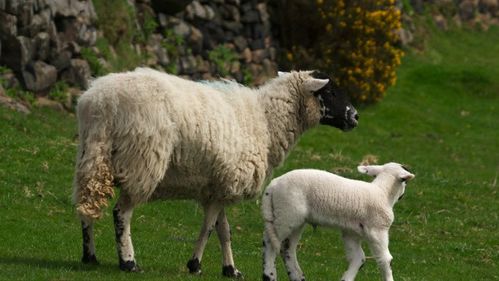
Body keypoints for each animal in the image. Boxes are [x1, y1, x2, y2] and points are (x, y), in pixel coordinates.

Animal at [71, 67, 360, 276]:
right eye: (331, 92)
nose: (356, 117)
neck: (267, 121)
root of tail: (101, 102)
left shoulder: (221, 185)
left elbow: (223, 229)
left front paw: (230, 269)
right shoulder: (226, 183)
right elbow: (209, 227)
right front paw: (195, 265)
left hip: (90, 154)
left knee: (86, 205)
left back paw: (89, 256)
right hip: (141, 162)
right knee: (121, 213)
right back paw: (128, 261)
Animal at [260, 162, 416, 280]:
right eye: (405, 182)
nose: (402, 196)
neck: (383, 192)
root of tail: (272, 186)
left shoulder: (351, 232)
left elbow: (359, 258)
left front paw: (346, 278)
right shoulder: (378, 230)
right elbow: (385, 260)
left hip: (294, 219)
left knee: (286, 248)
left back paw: (297, 276)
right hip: (286, 214)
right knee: (270, 243)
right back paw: (270, 274)